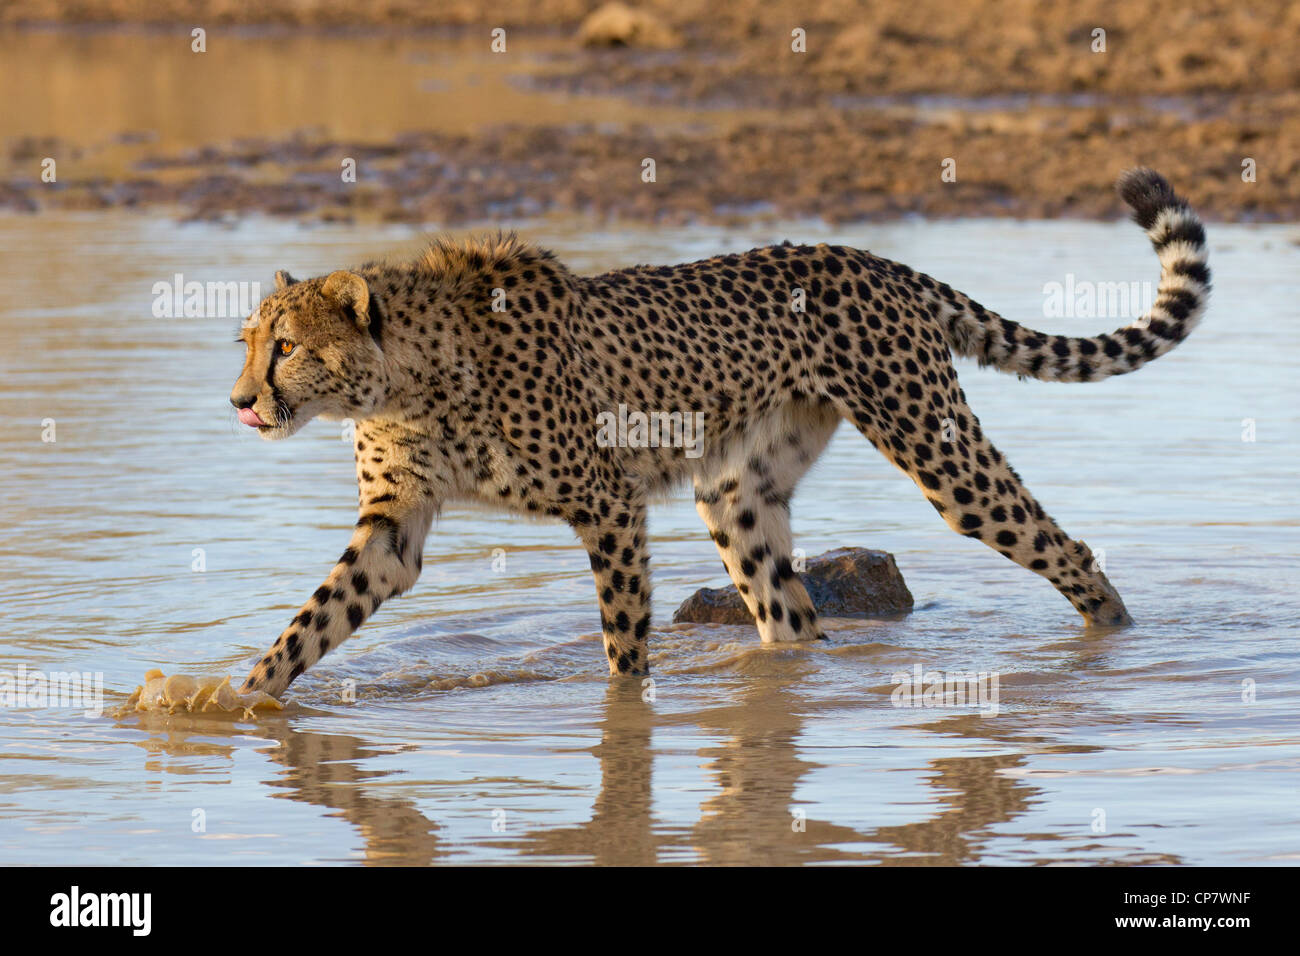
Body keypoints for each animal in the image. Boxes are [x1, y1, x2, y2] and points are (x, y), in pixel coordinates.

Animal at [231, 170, 1206, 697]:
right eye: (248, 340)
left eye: (287, 346)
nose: (241, 402)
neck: (402, 382)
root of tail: (874, 259)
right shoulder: (394, 526)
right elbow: (313, 621)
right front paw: (235, 704)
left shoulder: (609, 503)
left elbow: (624, 642)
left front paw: (625, 719)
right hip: (737, 493)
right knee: (792, 616)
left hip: (937, 450)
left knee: (1065, 548)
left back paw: (1116, 646)